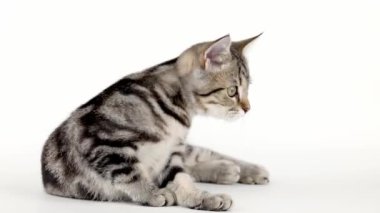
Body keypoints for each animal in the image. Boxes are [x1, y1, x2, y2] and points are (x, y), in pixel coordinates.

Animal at [40, 34, 268, 211]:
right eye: (232, 91)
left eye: (247, 89)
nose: (248, 108)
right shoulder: (99, 140)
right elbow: (129, 173)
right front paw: (152, 194)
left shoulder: (172, 152)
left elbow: (181, 179)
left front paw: (203, 197)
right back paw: (227, 170)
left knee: (201, 157)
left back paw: (247, 170)